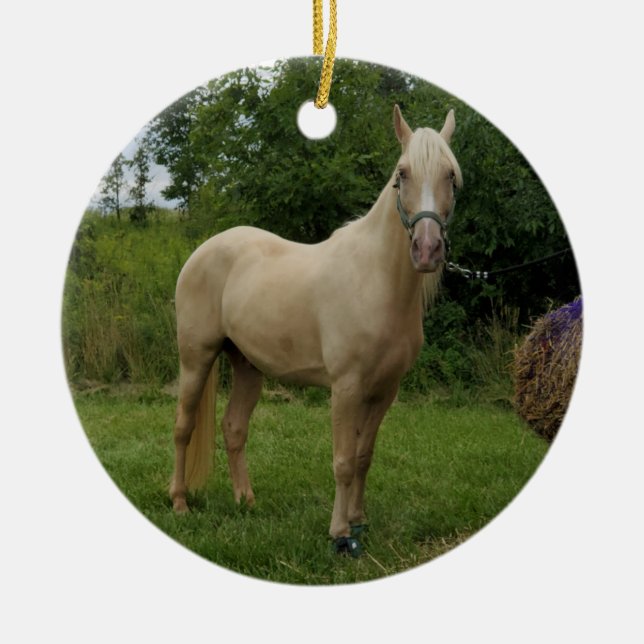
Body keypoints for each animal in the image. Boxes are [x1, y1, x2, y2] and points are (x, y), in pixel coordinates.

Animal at [169, 105, 463, 555]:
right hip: (196, 358)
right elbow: (342, 460)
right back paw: (180, 503)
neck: (375, 279)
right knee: (183, 427)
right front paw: (340, 535)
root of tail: (202, 252)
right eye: (402, 173)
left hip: (247, 365)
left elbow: (363, 456)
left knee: (234, 428)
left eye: (450, 174)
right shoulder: (346, 387)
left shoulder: (384, 390)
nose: (427, 250)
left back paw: (246, 501)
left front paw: (358, 522)